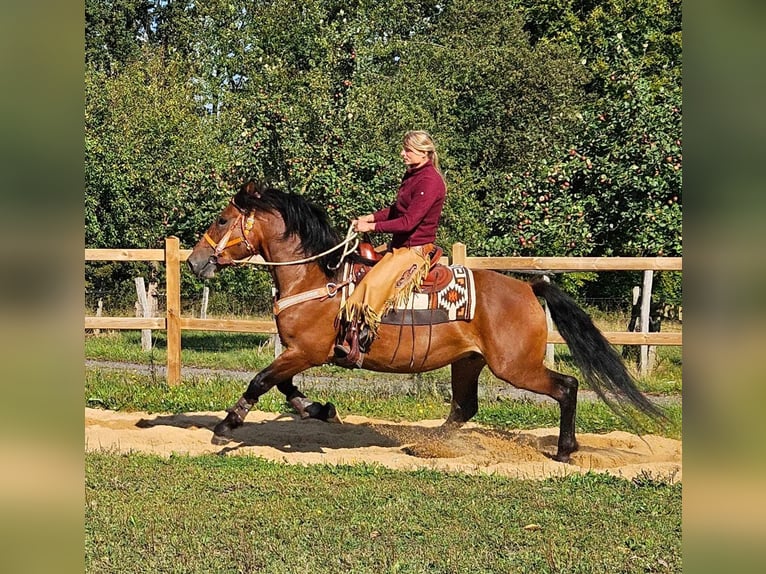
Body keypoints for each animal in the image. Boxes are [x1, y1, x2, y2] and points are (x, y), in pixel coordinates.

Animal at [189, 182, 664, 466]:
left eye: (222, 219)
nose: (195, 262)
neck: (318, 277)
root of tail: (531, 288)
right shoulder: (299, 353)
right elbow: (284, 386)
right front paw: (319, 409)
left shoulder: (305, 351)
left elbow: (261, 380)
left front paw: (226, 426)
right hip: (468, 363)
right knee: (465, 407)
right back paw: (428, 444)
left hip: (515, 367)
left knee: (566, 387)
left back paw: (565, 451)